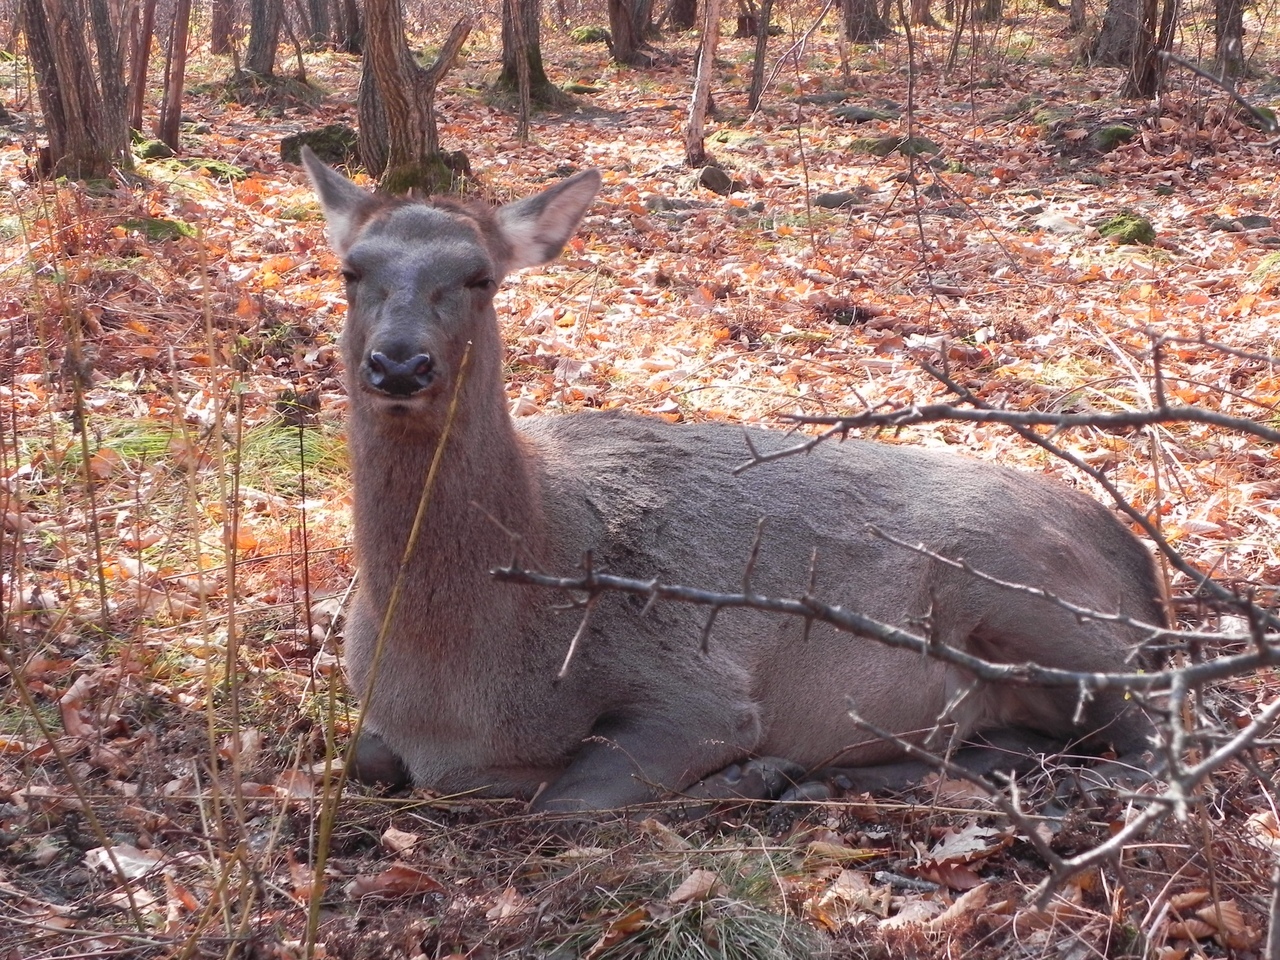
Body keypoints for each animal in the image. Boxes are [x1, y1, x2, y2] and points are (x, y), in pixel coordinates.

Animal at [302, 148, 1172, 814]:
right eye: (351, 270)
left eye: (480, 276)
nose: (399, 363)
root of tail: (1141, 563)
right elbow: (365, 761)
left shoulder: (699, 690)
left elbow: (566, 802)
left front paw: (747, 775)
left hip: (1031, 596)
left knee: (1152, 734)